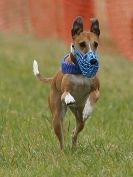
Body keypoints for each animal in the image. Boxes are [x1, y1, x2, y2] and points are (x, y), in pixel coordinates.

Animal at [33, 16, 100, 149]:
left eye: (96, 44)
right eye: (82, 44)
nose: (93, 61)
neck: (80, 72)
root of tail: (54, 78)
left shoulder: (96, 90)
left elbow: (92, 98)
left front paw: (88, 110)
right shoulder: (65, 91)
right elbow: (66, 93)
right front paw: (69, 98)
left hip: (79, 116)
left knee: (76, 130)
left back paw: (74, 144)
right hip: (57, 117)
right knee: (61, 139)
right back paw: (63, 150)